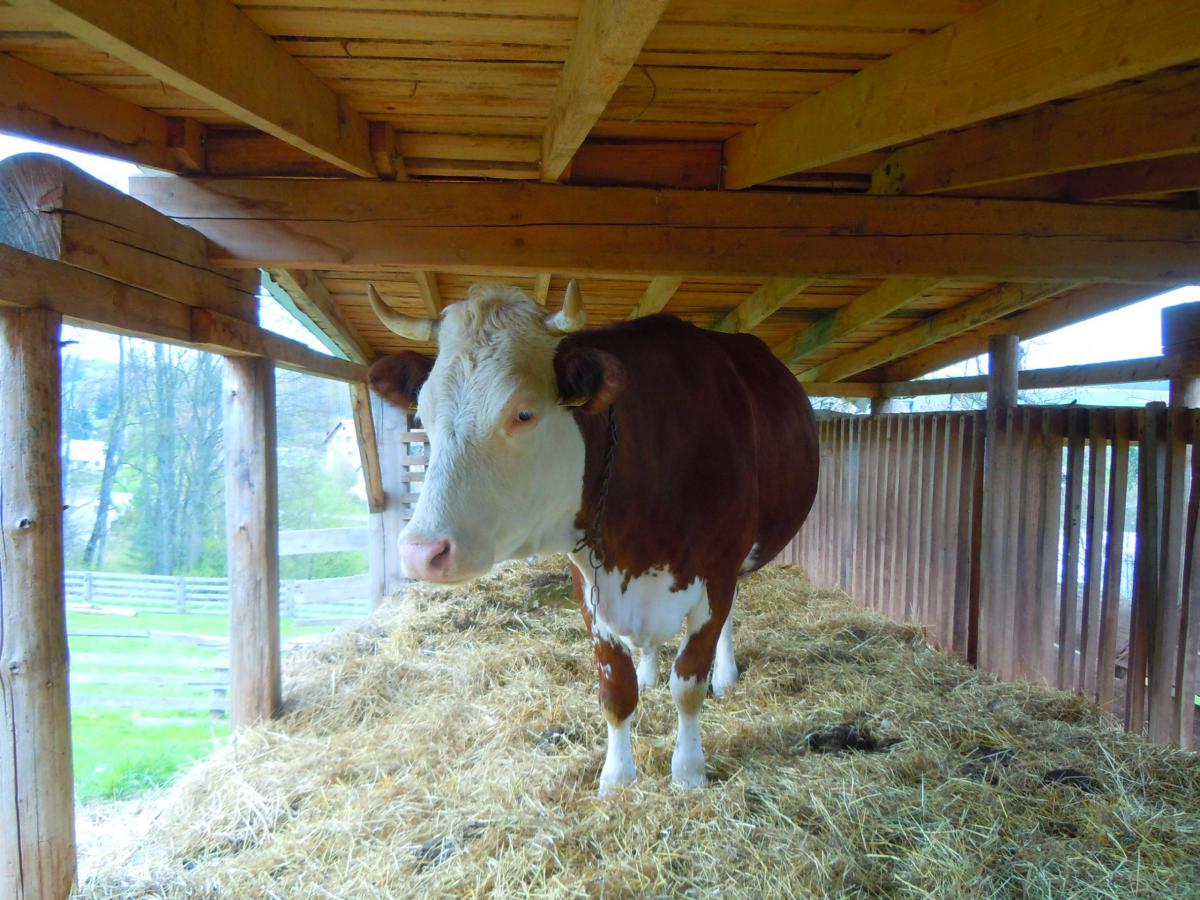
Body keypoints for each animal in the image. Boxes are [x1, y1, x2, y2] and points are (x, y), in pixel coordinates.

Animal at [362, 282, 816, 796]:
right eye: (422, 412)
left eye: (523, 413)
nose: (422, 552)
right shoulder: (591, 581)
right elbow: (616, 689)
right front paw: (617, 777)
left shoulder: (717, 572)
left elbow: (688, 683)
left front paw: (688, 770)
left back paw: (727, 675)